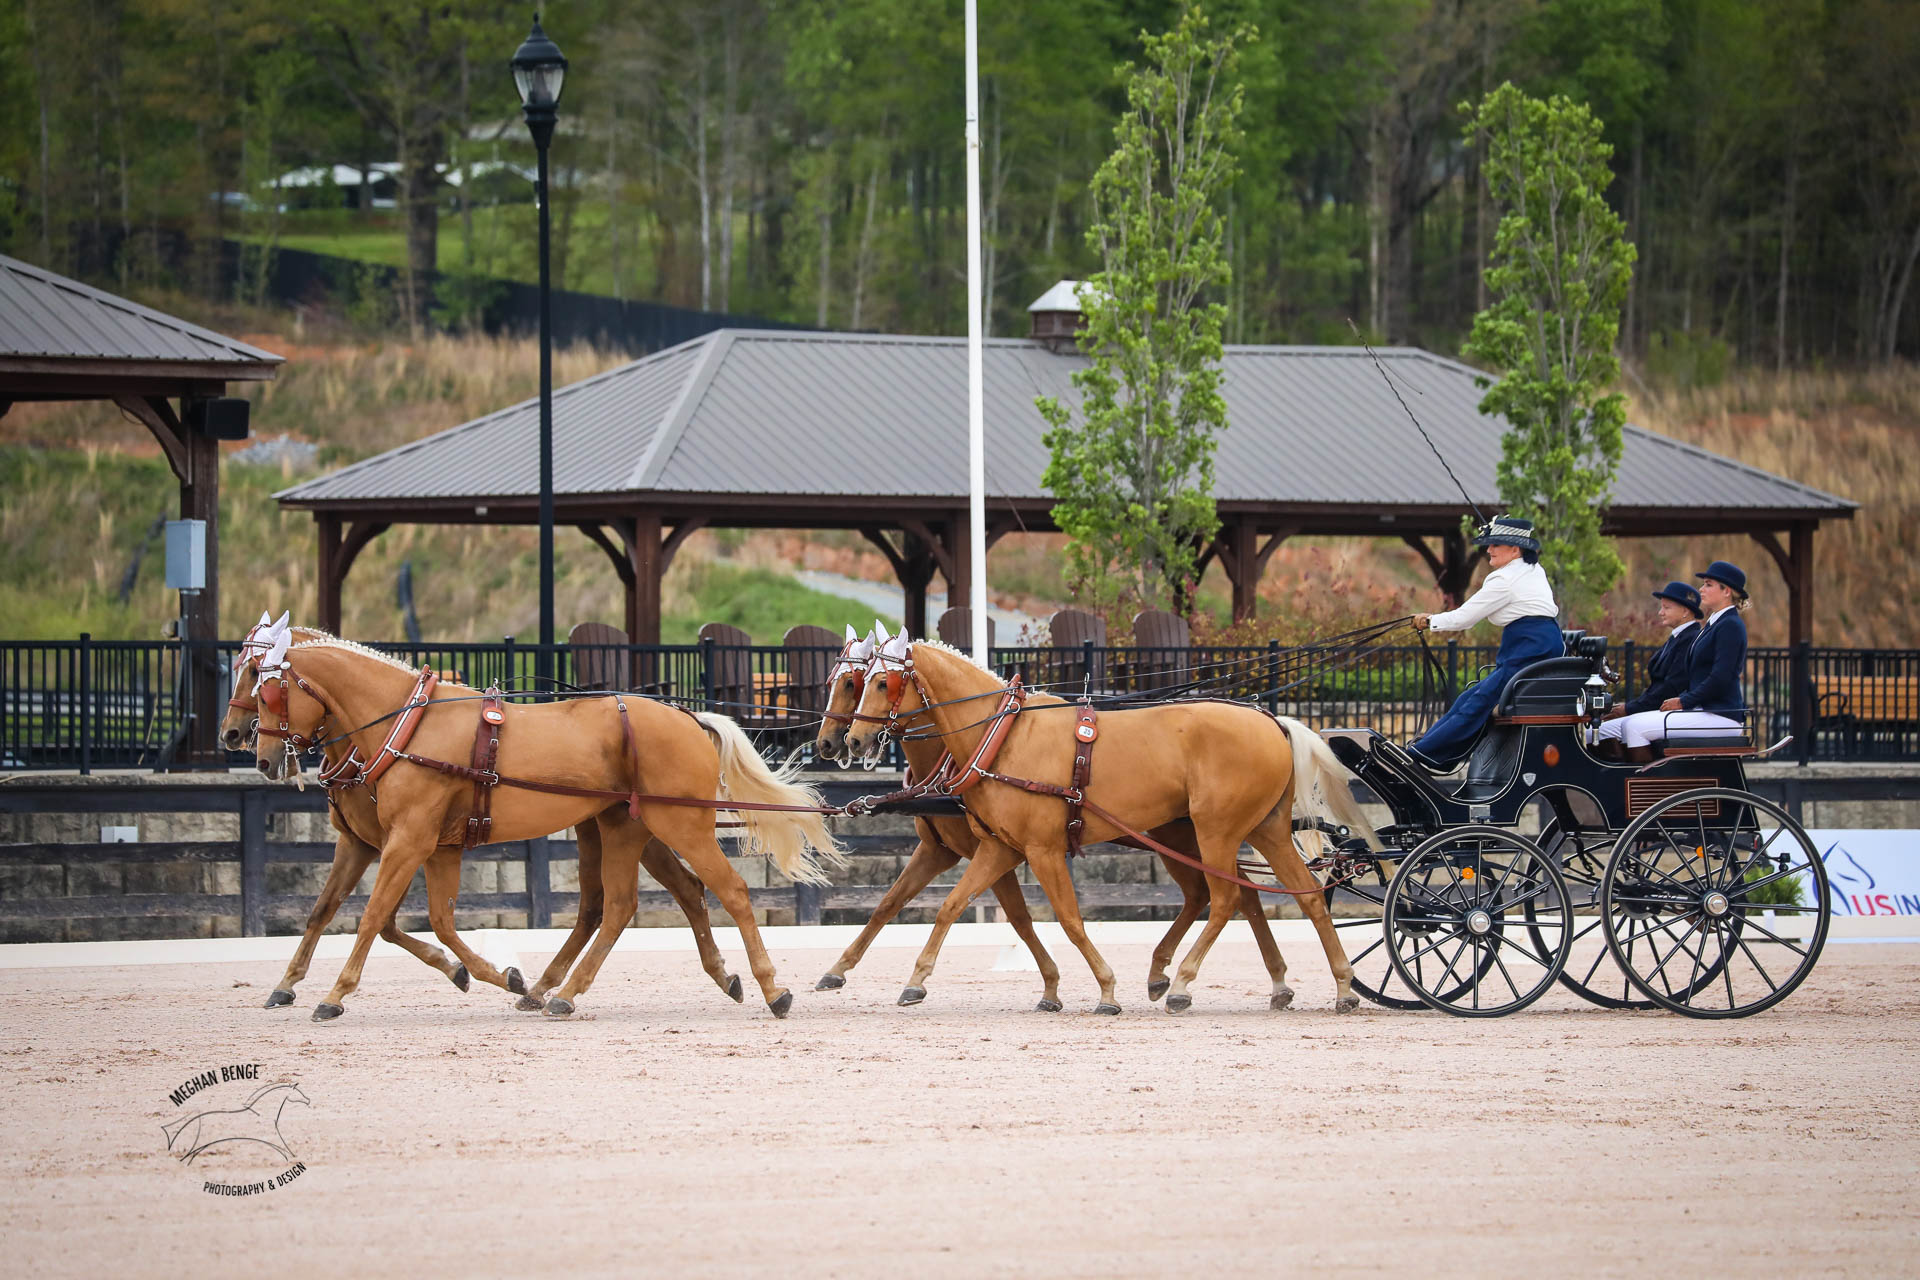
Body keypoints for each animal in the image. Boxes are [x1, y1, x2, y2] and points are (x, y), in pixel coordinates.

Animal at [245, 629, 840, 1020]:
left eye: (263, 684)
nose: (258, 754)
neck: (406, 724)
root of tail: (687, 716)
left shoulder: (409, 840)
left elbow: (373, 918)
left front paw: (334, 995)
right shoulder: (422, 845)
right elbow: (416, 919)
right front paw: (492, 976)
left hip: (678, 825)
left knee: (724, 891)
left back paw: (771, 989)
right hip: (620, 828)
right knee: (627, 903)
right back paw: (563, 989)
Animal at [840, 637, 1367, 1013]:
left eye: (880, 683)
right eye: (859, 681)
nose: (851, 740)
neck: (1002, 735)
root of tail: (1270, 720)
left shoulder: (1042, 850)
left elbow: (1070, 920)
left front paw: (1106, 989)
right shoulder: (999, 848)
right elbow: (950, 907)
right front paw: (915, 980)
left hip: (1215, 831)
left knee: (1226, 899)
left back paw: (1182, 982)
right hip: (1259, 831)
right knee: (1303, 896)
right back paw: (1341, 985)